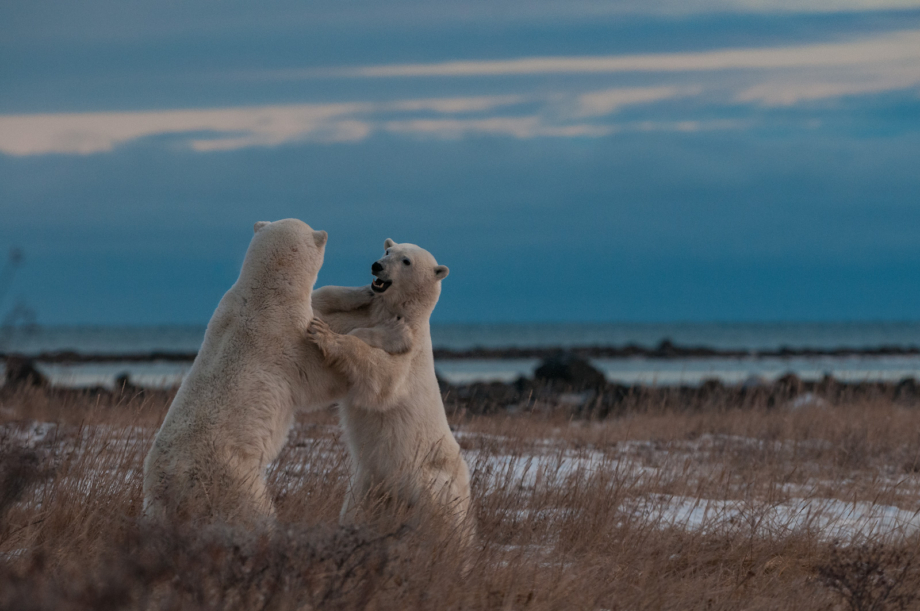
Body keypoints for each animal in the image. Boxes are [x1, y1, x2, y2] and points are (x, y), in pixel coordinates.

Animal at [141, 220, 406, 524]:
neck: (264, 292)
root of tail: (168, 483)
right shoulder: (284, 338)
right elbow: (321, 377)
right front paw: (394, 331)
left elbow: (319, 304)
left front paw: (363, 292)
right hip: (227, 477)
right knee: (252, 511)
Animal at [310, 241, 474, 544]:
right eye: (387, 251)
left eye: (406, 260)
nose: (377, 266)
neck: (403, 313)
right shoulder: (363, 314)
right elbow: (317, 306)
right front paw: (357, 296)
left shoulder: (410, 358)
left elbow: (382, 377)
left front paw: (330, 336)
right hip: (369, 484)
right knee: (355, 510)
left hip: (433, 482)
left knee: (443, 518)